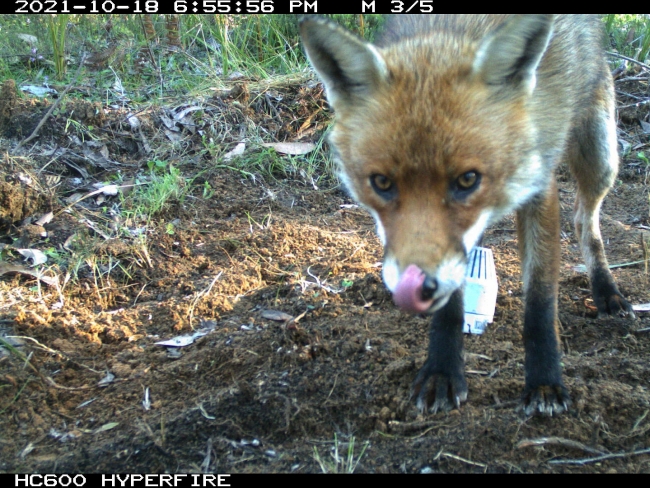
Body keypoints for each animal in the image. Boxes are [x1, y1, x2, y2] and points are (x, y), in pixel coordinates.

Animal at [302, 14, 636, 416]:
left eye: (467, 179)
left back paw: (606, 291)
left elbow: (540, 303)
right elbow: (450, 304)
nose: (417, 287)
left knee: (585, 223)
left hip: (600, 156)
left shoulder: (539, 185)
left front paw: (544, 381)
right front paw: (442, 370)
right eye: (381, 182)